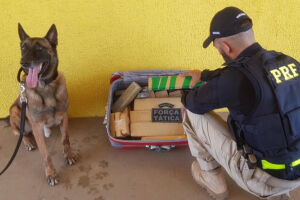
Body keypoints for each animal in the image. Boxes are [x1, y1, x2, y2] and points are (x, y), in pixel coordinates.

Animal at [9, 23, 77, 186]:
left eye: (40, 48)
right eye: (23, 48)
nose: (23, 62)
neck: (45, 86)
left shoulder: (64, 117)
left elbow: (65, 139)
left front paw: (68, 156)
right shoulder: (36, 127)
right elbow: (46, 154)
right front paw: (51, 174)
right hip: (15, 110)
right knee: (20, 133)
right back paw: (28, 142)